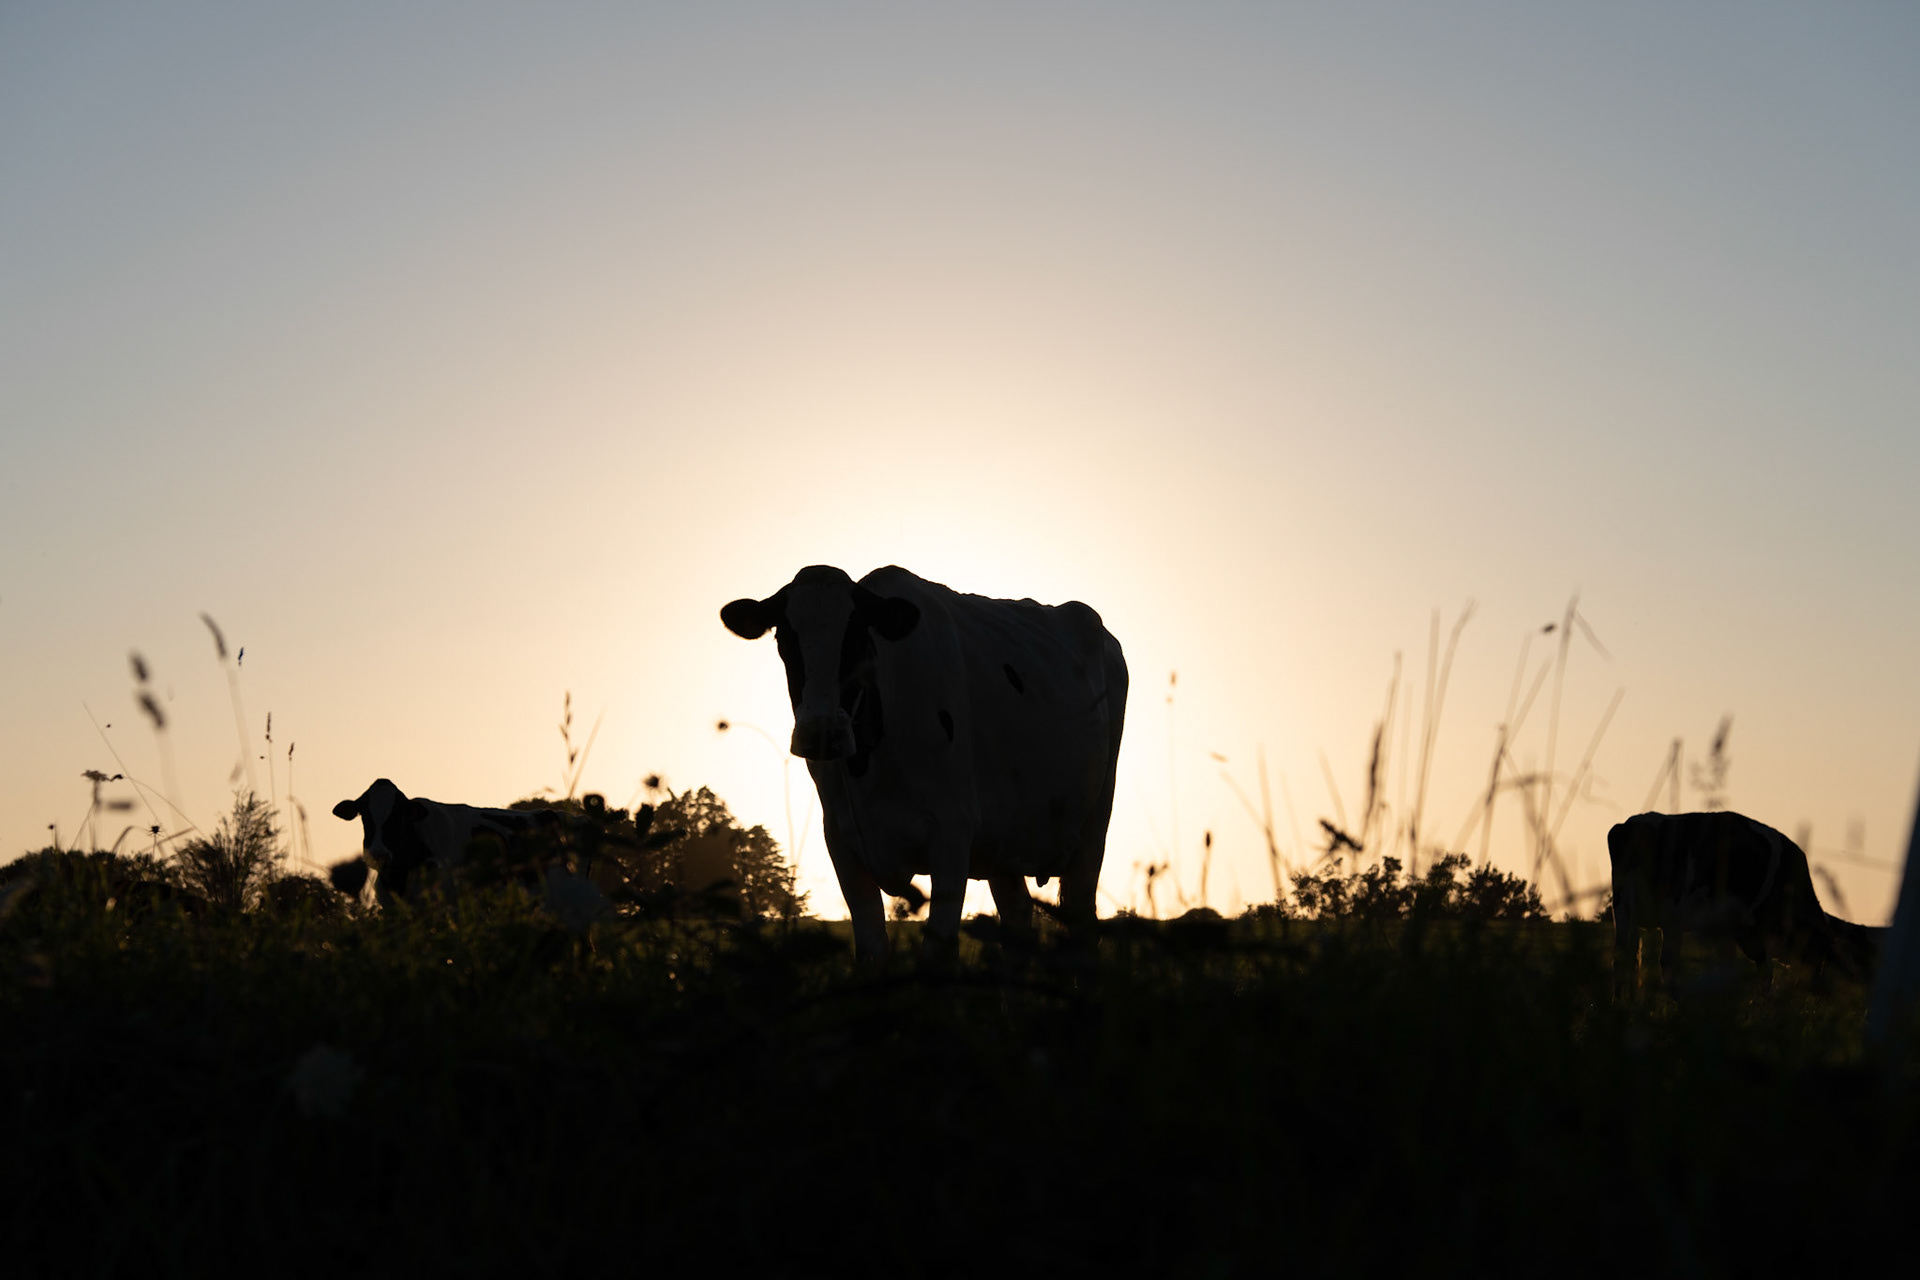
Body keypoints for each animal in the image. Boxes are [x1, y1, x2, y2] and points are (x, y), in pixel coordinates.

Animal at [721, 564, 1127, 961]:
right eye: (784, 641)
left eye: (857, 638)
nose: (821, 731)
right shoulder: (841, 839)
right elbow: (871, 950)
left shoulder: (952, 833)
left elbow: (937, 953)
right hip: (1003, 839)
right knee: (1017, 918)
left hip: (1092, 827)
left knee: (1081, 922)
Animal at [1607, 810, 1880, 998]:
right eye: (1820, 955)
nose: (1816, 991)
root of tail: (1633, 824)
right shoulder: (1755, 928)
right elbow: (1765, 972)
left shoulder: (1730, 929)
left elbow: (1727, 968)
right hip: (1672, 912)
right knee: (1667, 962)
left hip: (1624, 908)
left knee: (1623, 957)